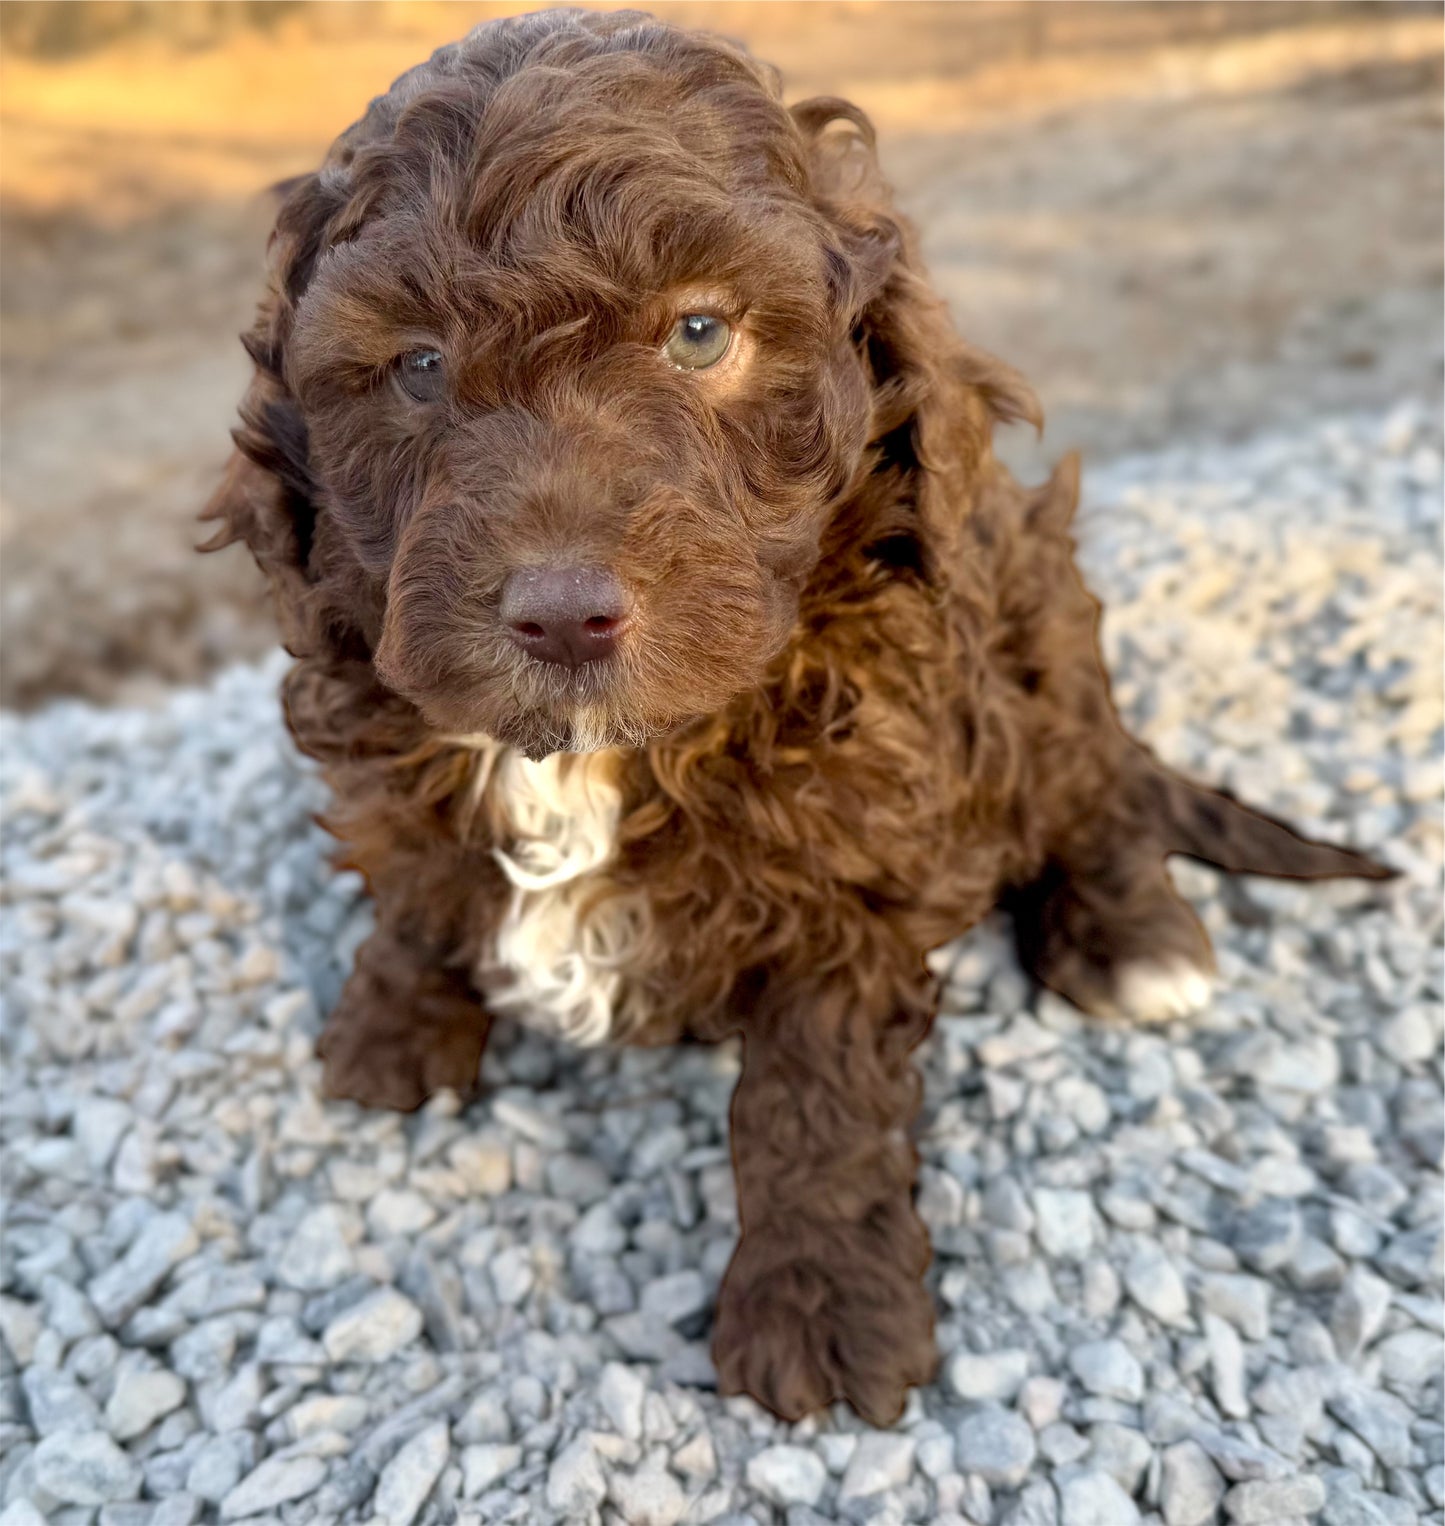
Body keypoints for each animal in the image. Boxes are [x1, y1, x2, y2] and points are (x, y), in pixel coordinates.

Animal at [205, 5, 1391, 1422]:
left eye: (700, 333)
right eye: (419, 366)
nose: (560, 612)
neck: (613, 757)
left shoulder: (855, 848)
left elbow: (813, 1094)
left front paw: (819, 1306)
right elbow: (412, 877)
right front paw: (391, 1022)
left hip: (1038, 602)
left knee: (1089, 776)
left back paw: (1132, 937)